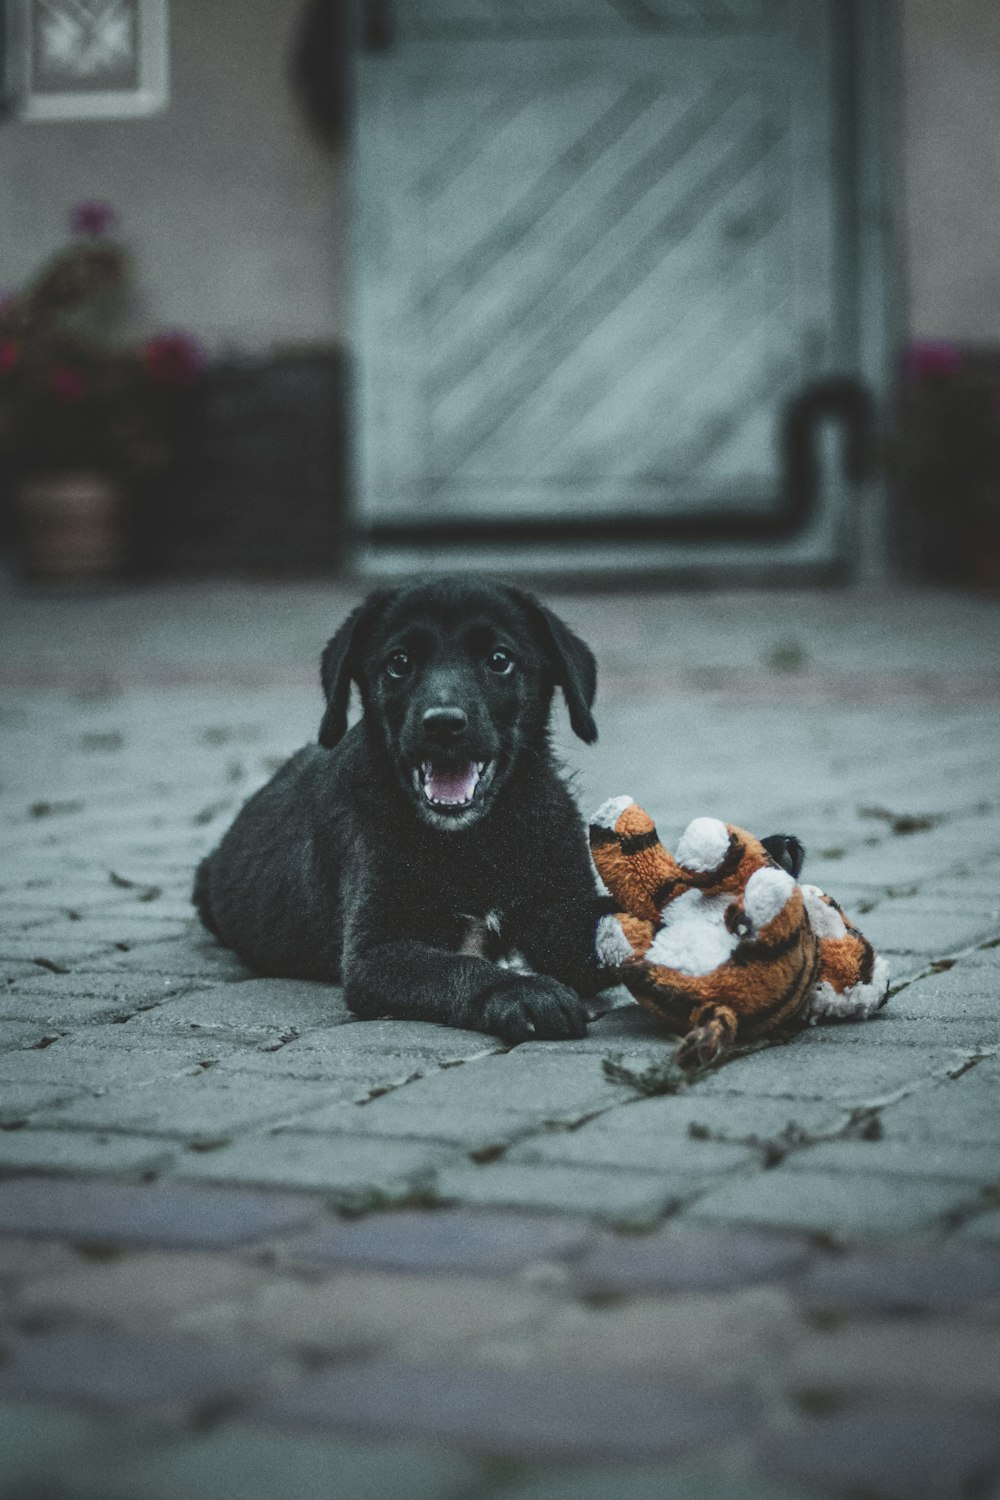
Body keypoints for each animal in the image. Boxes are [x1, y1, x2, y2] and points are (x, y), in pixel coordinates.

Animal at [193, 573, 605, 1044]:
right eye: (399, 662)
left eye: (499, 659)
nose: (443, 723)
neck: (476, 840)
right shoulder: (376, 952)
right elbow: (457, 966)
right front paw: (522, 991)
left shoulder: (566, 907)